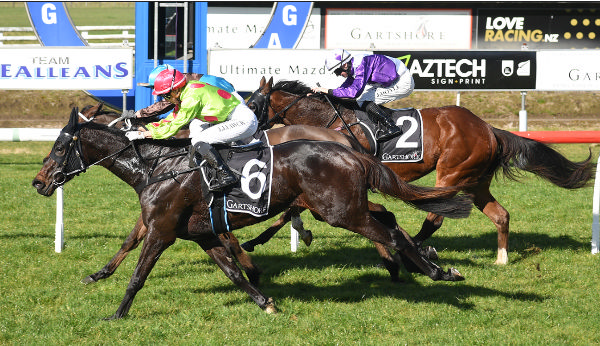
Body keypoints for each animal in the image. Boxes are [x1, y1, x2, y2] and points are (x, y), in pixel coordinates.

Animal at [32, 107, 474, 318]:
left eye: (60, 147)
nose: (38, 182)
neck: (157, 169)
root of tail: (350, 151)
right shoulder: (202, 233)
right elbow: (232, 271)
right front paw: (266, 302)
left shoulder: (162, 230)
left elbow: (138, 274)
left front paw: (116, 315)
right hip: (345, 207)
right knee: (389, 222)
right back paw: (423, 262)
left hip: (340, 211)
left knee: (389, 232)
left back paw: (436, 271)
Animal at [246, 77, 592, 264]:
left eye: (251, 105)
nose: (246, 131)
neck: (328, 120)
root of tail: (488, 129)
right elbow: (293, 209)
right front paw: (292, 235)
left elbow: (295, 208)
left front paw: (261, 240)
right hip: (475, 181)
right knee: (500, 215)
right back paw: (501, 258)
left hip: (452, 173)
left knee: (435, 217)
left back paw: (413, 246)